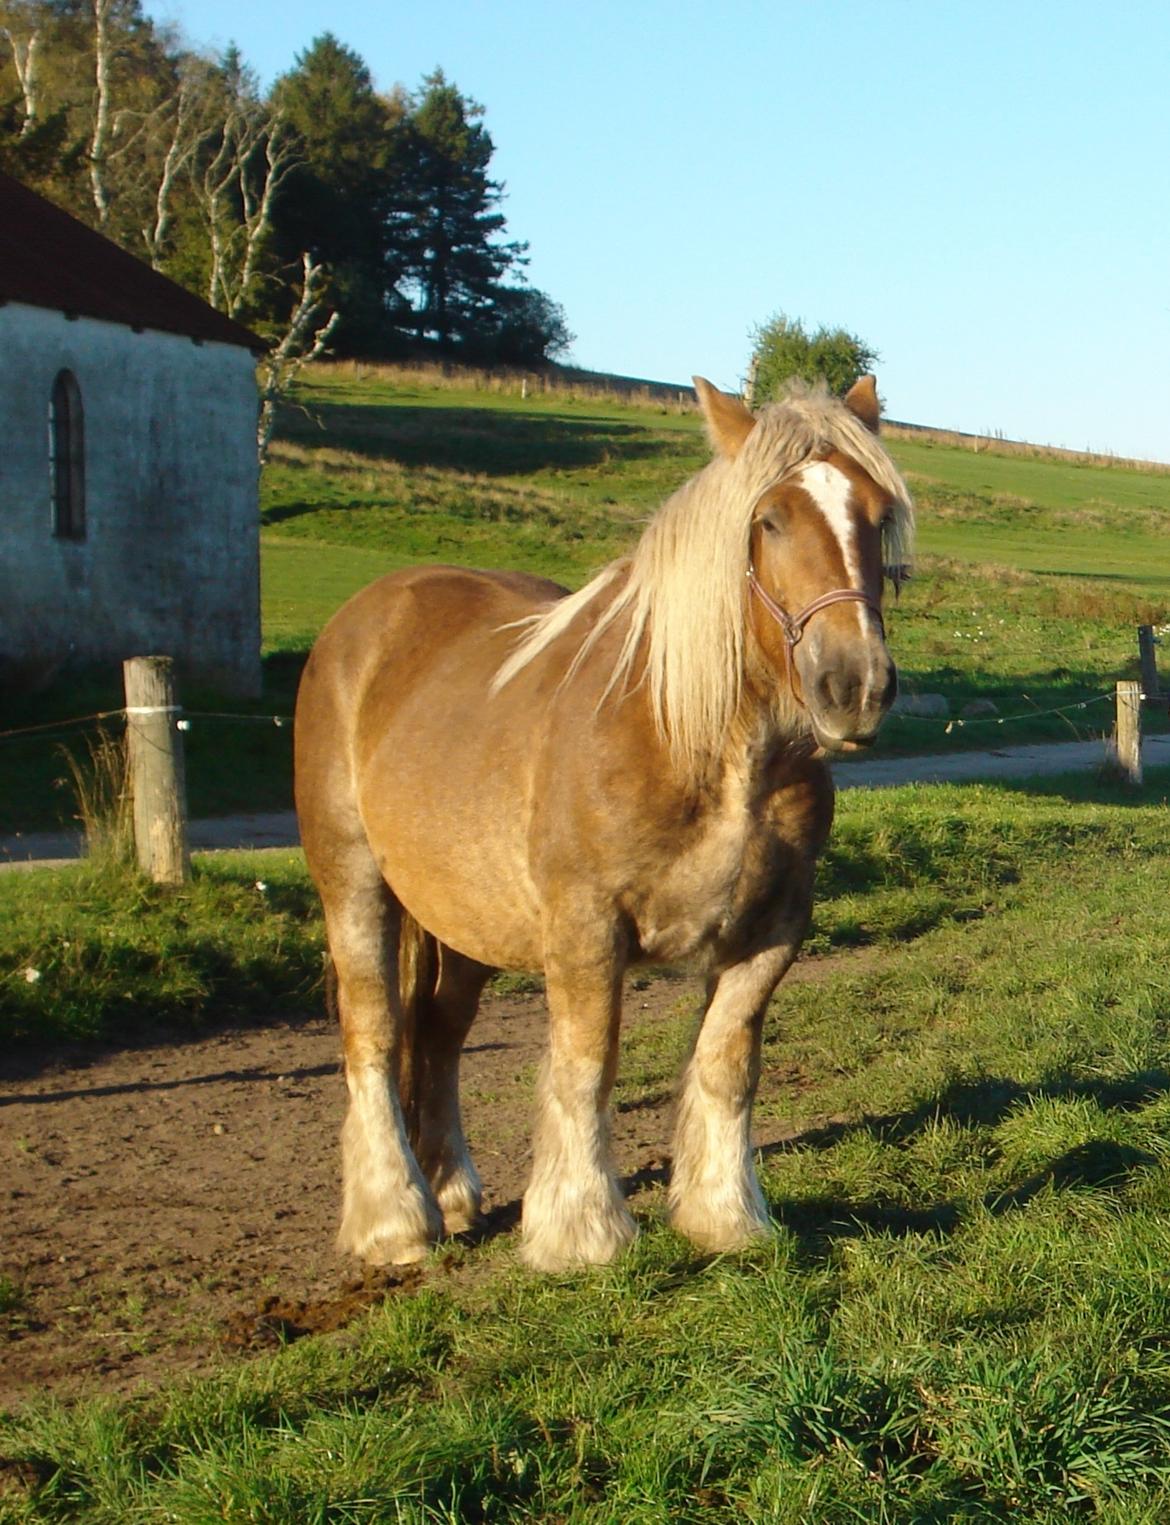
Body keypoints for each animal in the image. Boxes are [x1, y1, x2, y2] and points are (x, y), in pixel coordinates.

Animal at [292, 375, 915, 1268]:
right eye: (769, 518)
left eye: (875, 511)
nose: (854, 684)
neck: (698, 742)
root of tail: (362, 621)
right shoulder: (587, 926)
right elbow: (586, 1064)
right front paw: (582, 1230)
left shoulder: (772, 929)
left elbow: (727, 1062)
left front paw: (725, 1215)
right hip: (353, 882)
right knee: (373, 1031)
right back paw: (396, 1220)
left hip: (463, 918)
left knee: (439, 1035)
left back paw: (450, 1192)